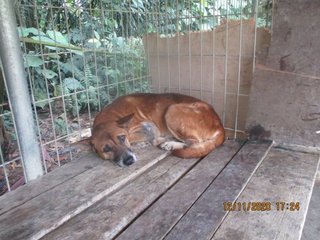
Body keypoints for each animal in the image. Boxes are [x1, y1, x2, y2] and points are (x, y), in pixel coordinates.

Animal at [90, 93, 225, 166]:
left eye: (122, 138)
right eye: (106, 149)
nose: (129, 161)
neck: (112, 116)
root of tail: (220, 125)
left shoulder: (149, 127)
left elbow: (141, 137)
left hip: (171, 110)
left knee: (194, 142)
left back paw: (170, 144)